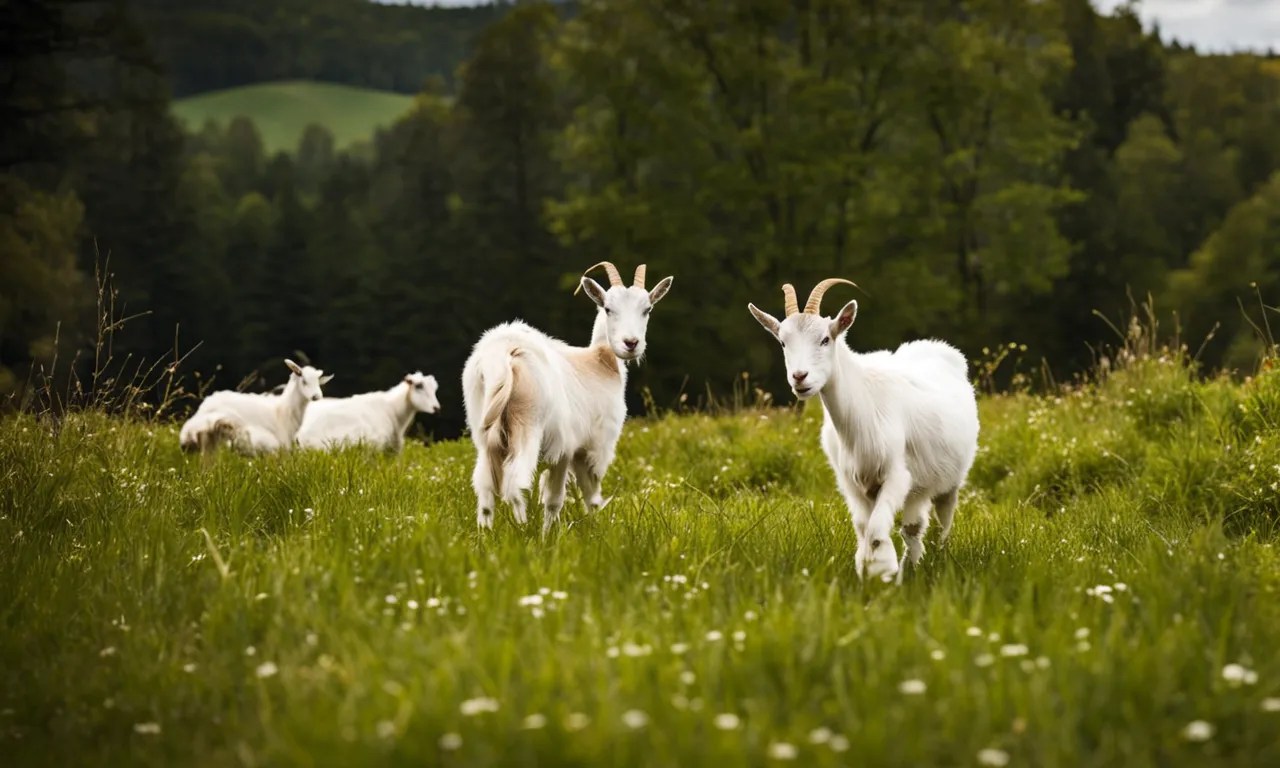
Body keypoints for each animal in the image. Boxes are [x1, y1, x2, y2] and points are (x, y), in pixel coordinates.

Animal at [462, 261, 673, 533]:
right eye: (608, 308)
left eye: (647, 309)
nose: (631, 343)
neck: (601, 362)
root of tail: (504, 353)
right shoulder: (584, 447)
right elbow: (576, 498)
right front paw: (560, 535)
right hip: (527, 424)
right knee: (516, 484)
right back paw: (522, 529)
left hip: (484, 432)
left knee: (485, 490)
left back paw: (486, 534)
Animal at [748, 279, 979, 582]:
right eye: (783, 342)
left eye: (825, 339)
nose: (800, 378)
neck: (864, 410)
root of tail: (941, 350)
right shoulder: (852, 482)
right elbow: (863, 526)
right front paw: (869, 569)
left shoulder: (896, 475)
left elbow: (877, 528)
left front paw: (883, 569)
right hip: (917, 489)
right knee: (913, 527)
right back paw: (911, 568)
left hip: (950, 480)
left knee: (943, 517)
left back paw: (939, 558)